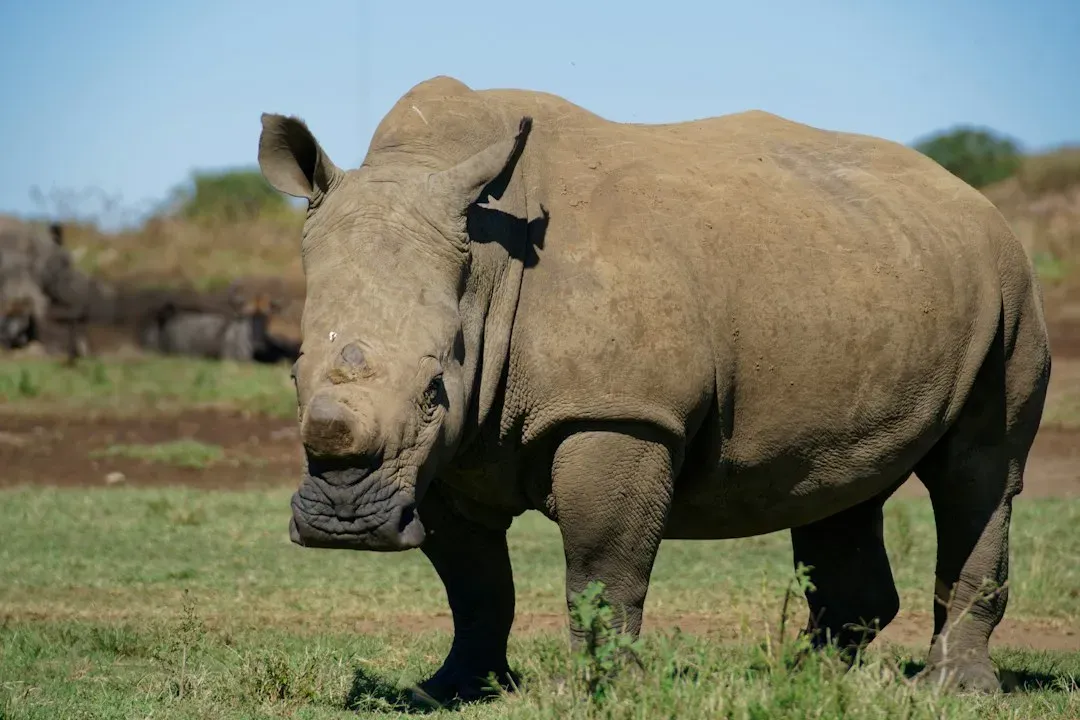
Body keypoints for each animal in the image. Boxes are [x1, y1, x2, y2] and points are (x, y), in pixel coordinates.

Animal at [257, 76, 1051, 704]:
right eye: (292, 374)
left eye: (432, 389)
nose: (344, 522)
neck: (483, 264)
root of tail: (972, 194)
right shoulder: (445, 455)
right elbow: (473, 583)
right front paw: (452, 689)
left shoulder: (618, 413)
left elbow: (603, 568)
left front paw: (606, 691)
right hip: (869, 272)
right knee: (839, 478)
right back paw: (806, 681)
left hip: (1010, 285)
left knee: (980, 473)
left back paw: (954, 690)